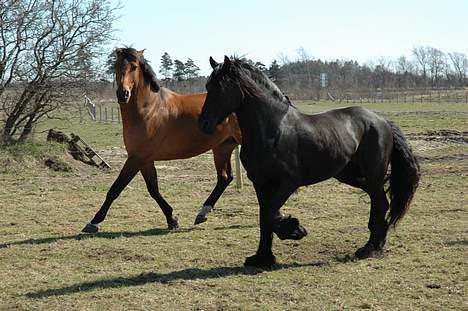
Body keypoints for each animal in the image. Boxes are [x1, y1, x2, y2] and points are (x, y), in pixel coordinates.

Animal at [80, 48, 239, 234]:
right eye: (116, 66)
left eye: (134, 67)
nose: (123, 94)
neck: (149, 109)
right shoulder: (145, 160)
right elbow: (153, 189)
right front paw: (172, 219)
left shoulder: (136, 158)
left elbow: (116, 188)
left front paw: (94, 222)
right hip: (223, 147)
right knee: (225, 178)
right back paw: (202, 213)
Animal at [197, 57, 420, 270]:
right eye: (208, 86)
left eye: (221, 87)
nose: (203, 124)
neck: (273, 130)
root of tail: (382, 121)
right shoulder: (260, 183)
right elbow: (264, 217)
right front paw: (262, 257)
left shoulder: (288, 183)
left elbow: (270, 215)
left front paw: (294, 229)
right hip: (349, 175)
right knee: (378, 201)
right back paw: (376, 243)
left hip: (373, 174)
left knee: (381, 203)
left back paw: (370, 248)